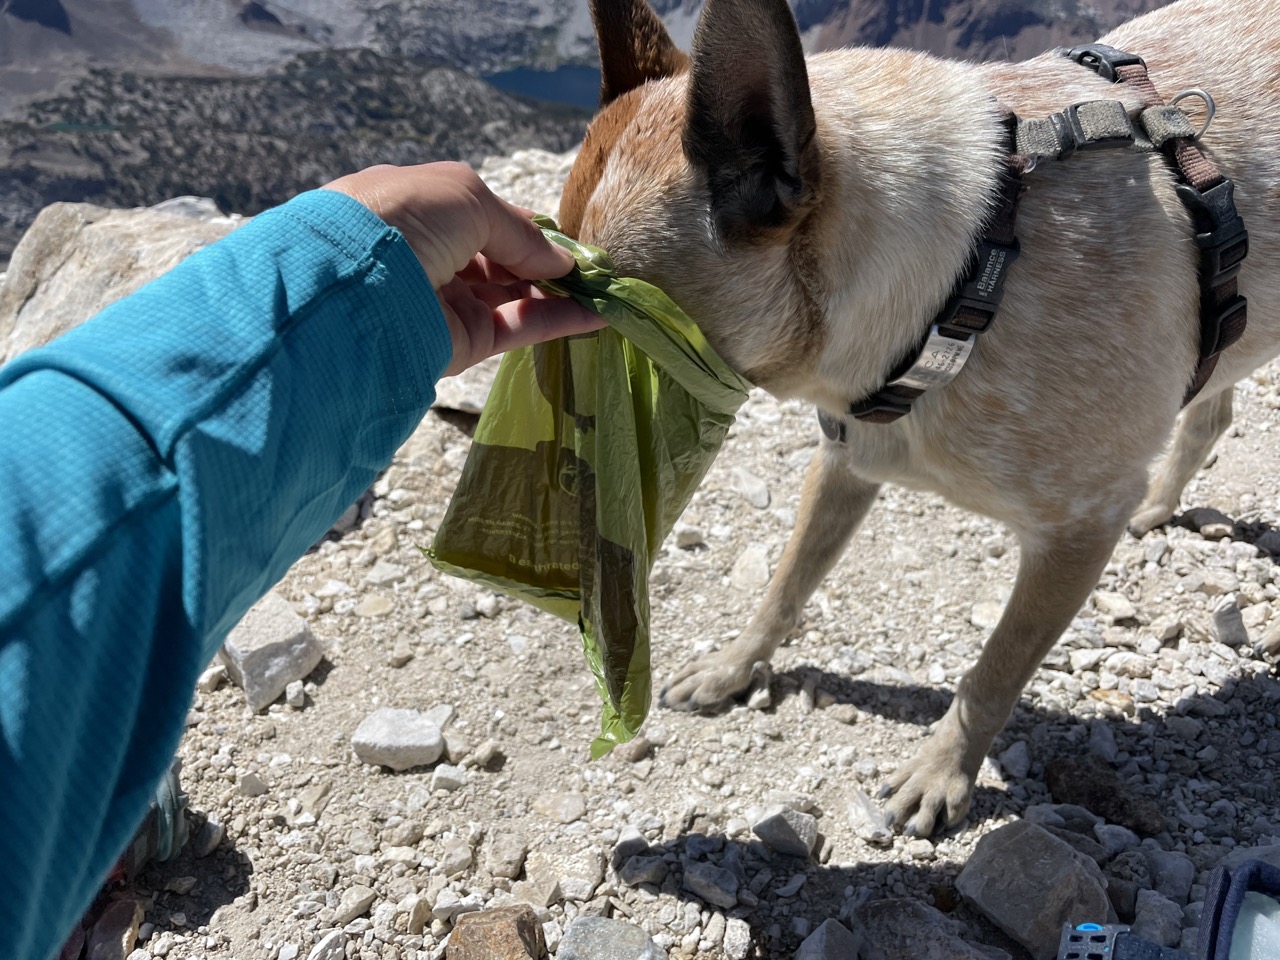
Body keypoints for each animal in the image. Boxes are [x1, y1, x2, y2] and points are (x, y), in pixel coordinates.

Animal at [560, 0, 1280, 834]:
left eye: (611, 322)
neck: (967, 278)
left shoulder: (1077, 531)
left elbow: (993, 671)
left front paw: (943, 771)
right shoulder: (843, 462)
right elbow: (786, 584)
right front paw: (735, 666)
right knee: (1212, 406)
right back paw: (1162, 503)